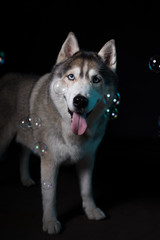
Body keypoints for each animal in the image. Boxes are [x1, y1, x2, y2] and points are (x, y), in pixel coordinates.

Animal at [0, 32, 117, 233]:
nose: (80, 100)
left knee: (23, 153)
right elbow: (50, 194)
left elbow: (87, 189)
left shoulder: (88, 158)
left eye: (96, 79)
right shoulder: (49, 160)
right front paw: (50, 221)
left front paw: (91, 210)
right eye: (71, 77)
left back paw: (25, 178)